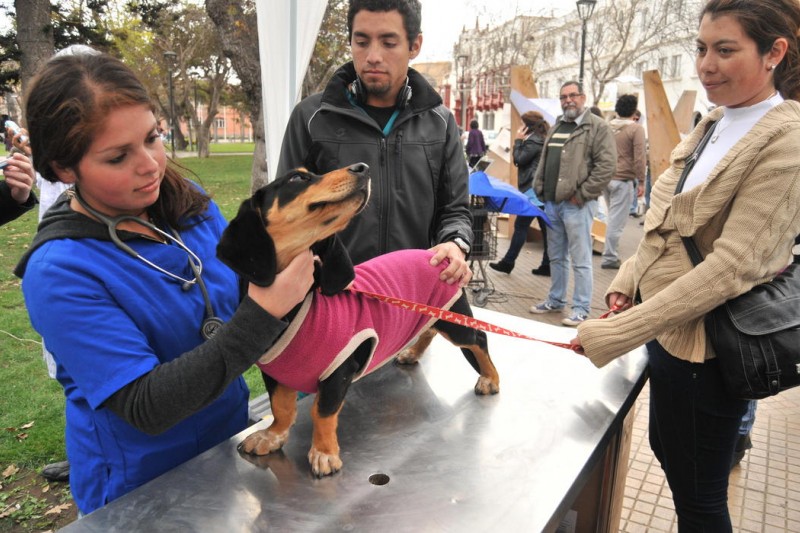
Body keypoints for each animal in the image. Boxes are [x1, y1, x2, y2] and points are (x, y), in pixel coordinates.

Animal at [216, 163, 496, 478]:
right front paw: (272, 436)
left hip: (454, 321)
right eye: (298, 177)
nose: (362, 168)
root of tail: (434, 252)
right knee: (429, 332)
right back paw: (411, 353)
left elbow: (322, 411)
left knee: (478, 339)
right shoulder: (274, 373)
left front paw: (324, 453)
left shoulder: (340, 369)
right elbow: (282, 408)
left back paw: (490, 378)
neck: (301, 306)